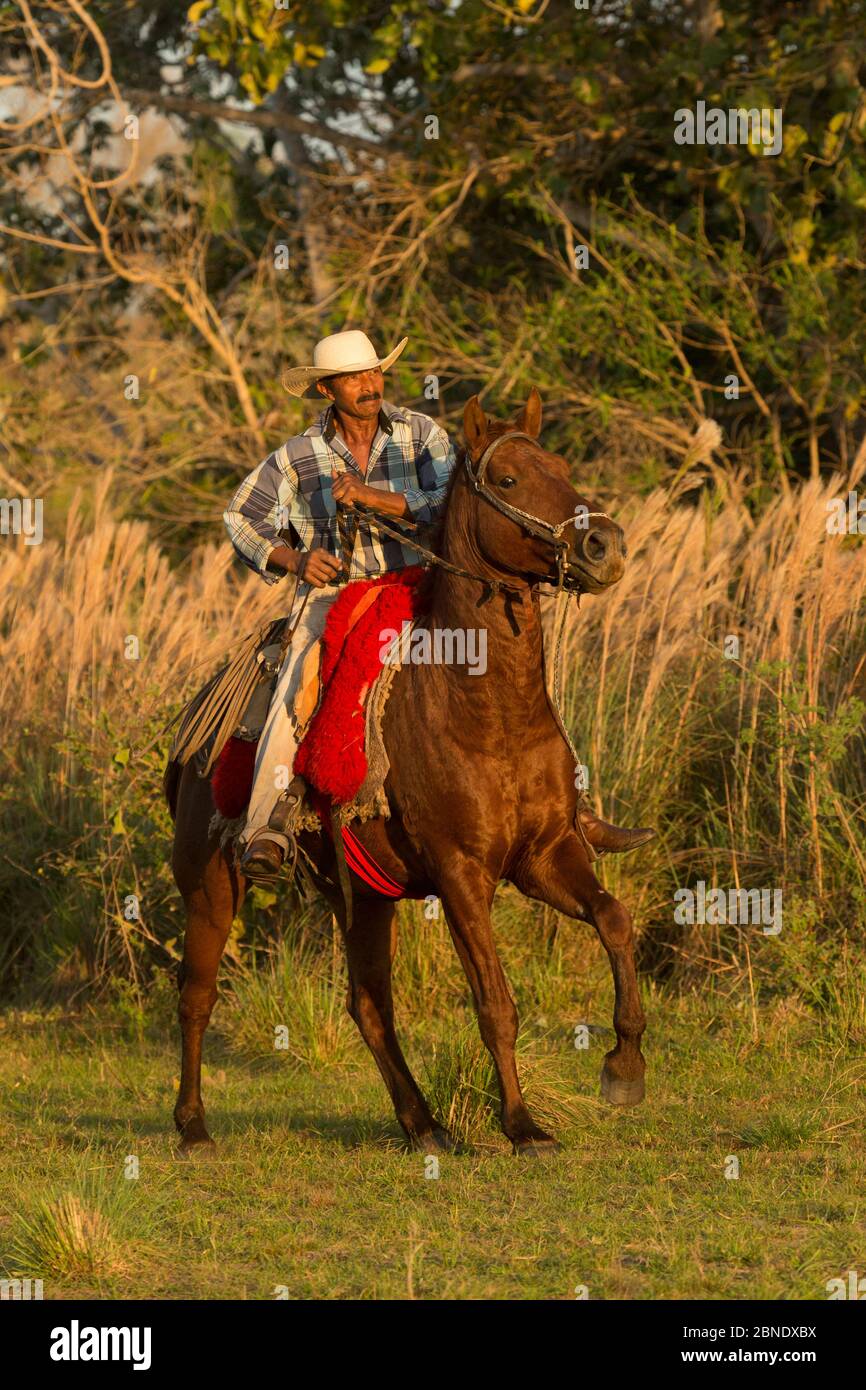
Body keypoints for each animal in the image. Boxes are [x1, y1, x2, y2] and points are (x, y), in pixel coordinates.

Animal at [166, 389, 647, 1150]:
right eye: (508, 479)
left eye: (563, 468)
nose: (605, 545)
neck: (484, 709)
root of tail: (194, 736)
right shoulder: (460, 874)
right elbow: (495, 1002)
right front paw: (522, 1125)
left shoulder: (545, 855)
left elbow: (615, 921)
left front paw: (624, 1067)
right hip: (211, 885)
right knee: (196, 997)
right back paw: (193, 1128)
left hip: (362, 896)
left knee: (369, 1005)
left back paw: (422, 1123)